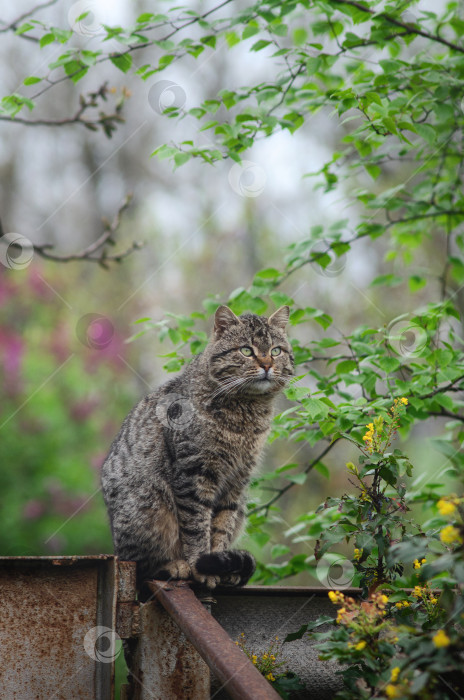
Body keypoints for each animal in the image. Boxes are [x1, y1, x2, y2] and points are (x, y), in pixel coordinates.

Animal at [101, 306, 294, 592]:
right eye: (246, 350)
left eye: (276, 350)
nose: (267, 365)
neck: (246, 414)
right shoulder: (194, 472)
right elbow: (196, 526)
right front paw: (200, 565)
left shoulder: (237, 481)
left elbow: (221, 526)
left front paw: (219, 563)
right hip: (147, 509)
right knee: (140, 565)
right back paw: (174, 565)